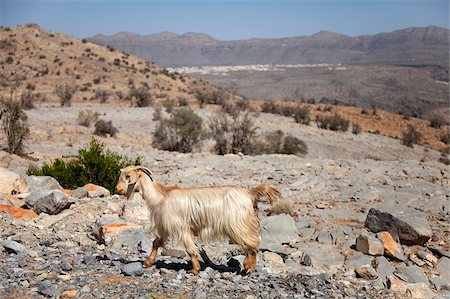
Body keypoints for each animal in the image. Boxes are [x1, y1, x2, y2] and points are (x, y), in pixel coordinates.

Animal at [114, 165, 280, 276]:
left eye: (128, 176)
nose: (117, 189)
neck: (161, 197)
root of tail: (250, 194)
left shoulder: (181, 227)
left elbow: (190, 249)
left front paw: (194, 270)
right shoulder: (165, 226)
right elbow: (156, 243)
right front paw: (148, 262)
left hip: (238, 225)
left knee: (252, 244)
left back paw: (248, 268)